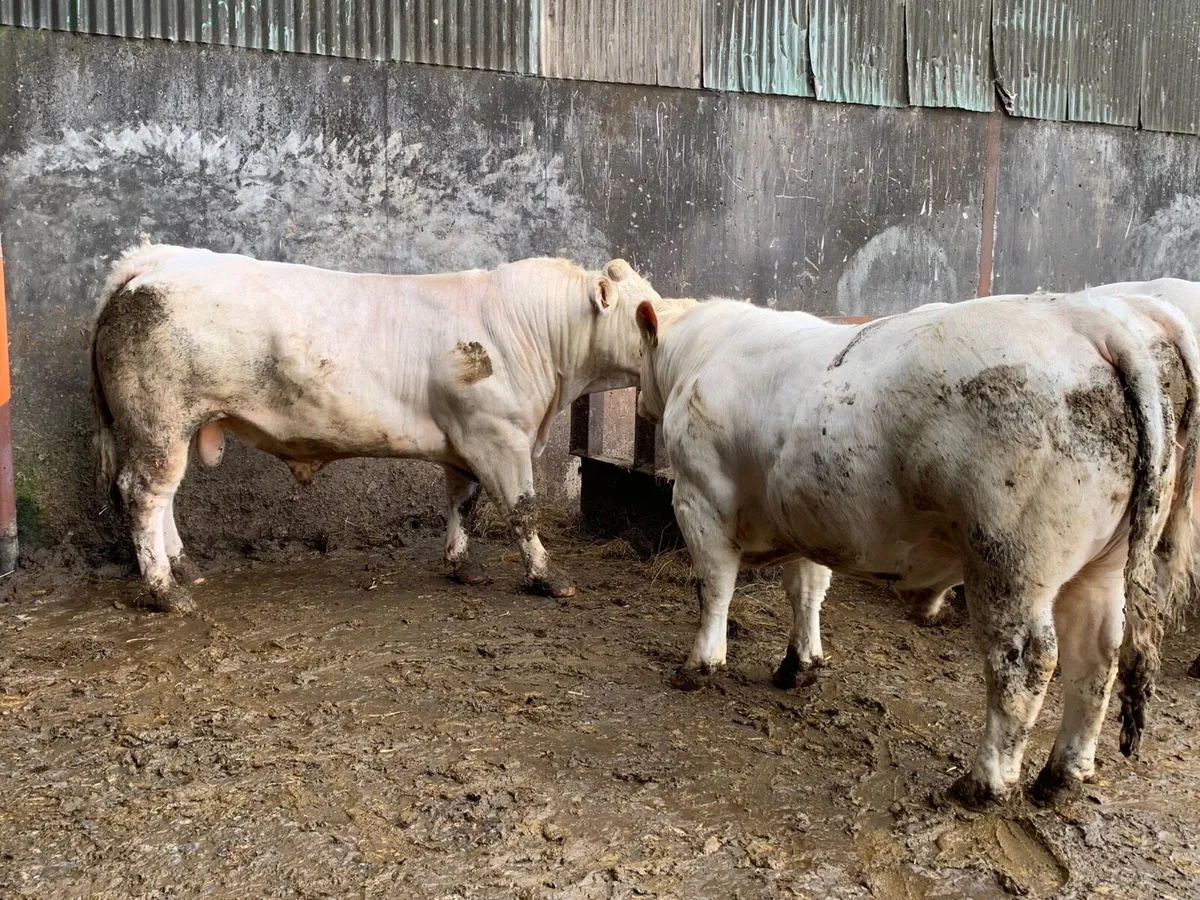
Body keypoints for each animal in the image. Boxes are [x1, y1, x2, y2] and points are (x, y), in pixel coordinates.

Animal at [90, 242, 664, 614]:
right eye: (644, 313)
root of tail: (157, 261)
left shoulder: (466, 440)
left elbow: (462, 502)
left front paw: (463, 566)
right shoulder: (499, 436)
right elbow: (522, 510)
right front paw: (548, 577)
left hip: (172, 428)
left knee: (165, 496)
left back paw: (183, 566)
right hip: (158, 421)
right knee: (145, 494)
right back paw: (166, 591)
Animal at [632, 290, 1198, 807]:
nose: (640, 403)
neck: (704, 350)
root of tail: (1092, 321)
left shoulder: (699, 499)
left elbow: (714, 589)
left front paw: (700, 664)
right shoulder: (806, 516)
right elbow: (807, 590)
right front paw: (800, 663)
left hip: (1011, 562)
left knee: (1024, 663)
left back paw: (984, 783)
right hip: (1104, 565)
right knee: (1096, 659)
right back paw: (1063, 774)